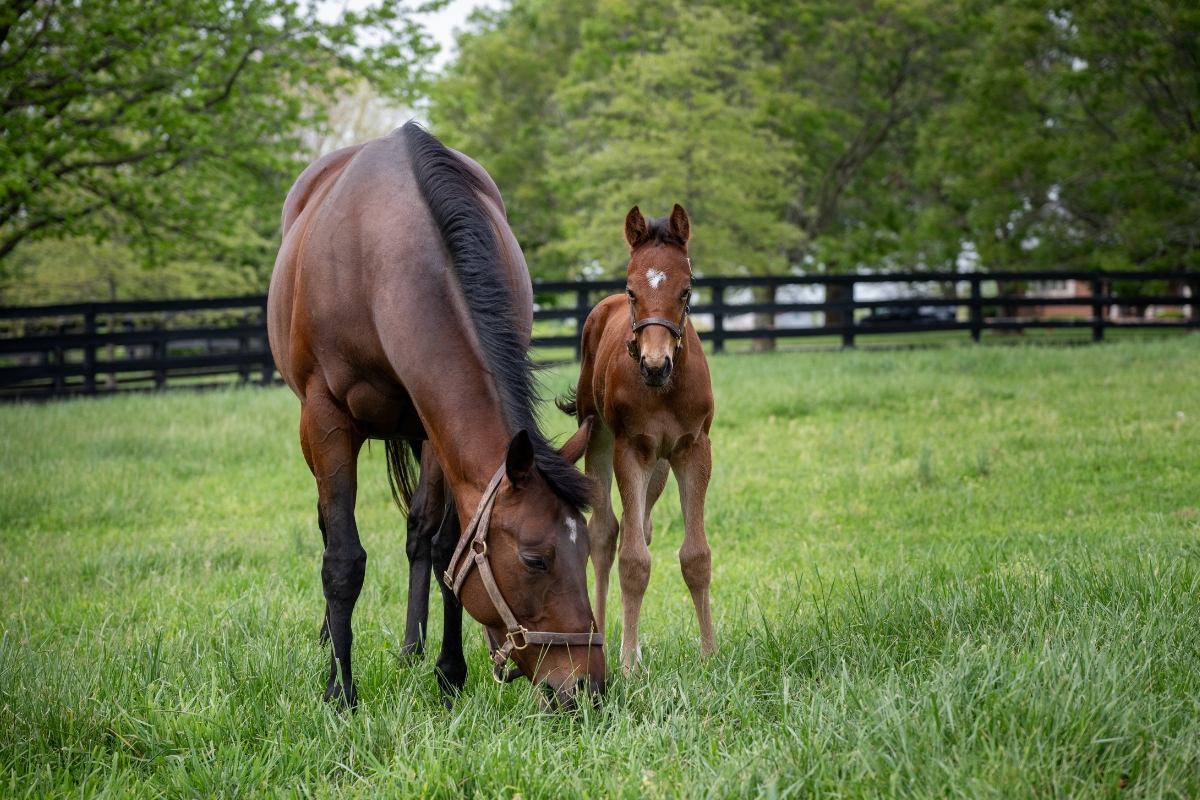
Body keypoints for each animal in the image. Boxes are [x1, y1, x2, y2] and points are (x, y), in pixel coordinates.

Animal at [267, 121, 605, 710]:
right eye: (535, 560)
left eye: (585, 550)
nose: (589, 685)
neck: (382, 258)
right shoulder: (326, 419)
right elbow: (342, 560)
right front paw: (340, 690)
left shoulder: (435, 429)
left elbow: (448, 548)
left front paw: (450, 674)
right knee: (328, 525)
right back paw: (329, 637)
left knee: (419, 534)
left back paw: (414, 647)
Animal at [557, 204, 716, 670]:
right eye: (632, 291)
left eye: (686, 290)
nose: (654, 364)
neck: (664, 391)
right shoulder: (631, 450)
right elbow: (631, 561)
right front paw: (627, 665)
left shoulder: (693, 449)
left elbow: (695, 555)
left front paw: (710, 654)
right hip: (598, 439)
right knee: (605, 534)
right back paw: (604, 640)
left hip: (660, 466)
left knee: (639, 525)